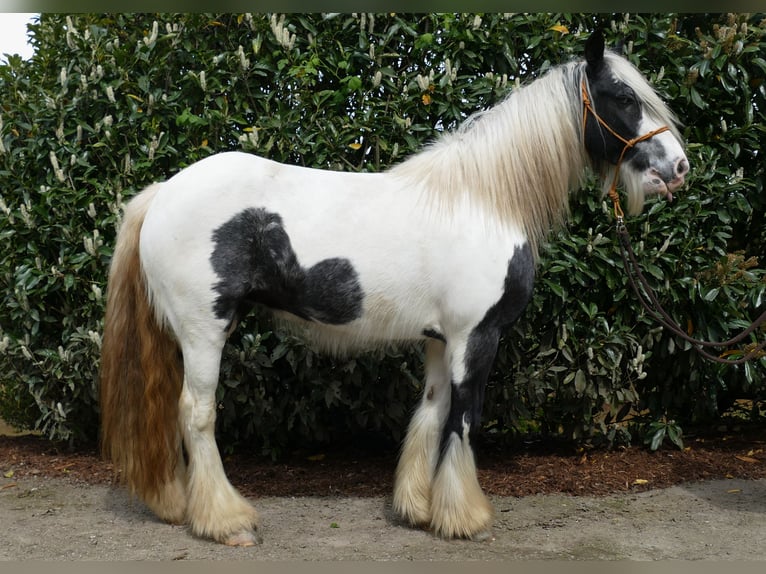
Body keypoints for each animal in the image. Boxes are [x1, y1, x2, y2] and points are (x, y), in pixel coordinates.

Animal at [99, 30, 689, 546]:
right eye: (624, 97)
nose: (678, 167)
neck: (482, 200)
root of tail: (163, 192)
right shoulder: (477, 337)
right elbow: (464, 417)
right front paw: (465, 519)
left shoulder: (441, 339)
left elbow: (431, 411)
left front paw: (421, 509)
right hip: (205, 329)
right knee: (196, 414)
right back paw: (226, 522)